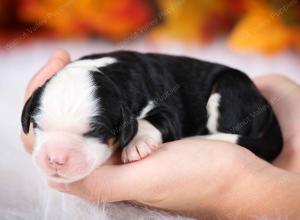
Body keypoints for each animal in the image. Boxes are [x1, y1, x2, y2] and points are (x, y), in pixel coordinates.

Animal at [22, 50, 282, 183]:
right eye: (37, 125)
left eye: (95, 131)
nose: (55, 160)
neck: (110, 74)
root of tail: (266, 104)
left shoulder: (167, 108)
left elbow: (151, 121)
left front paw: (137, 145)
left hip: (229, 89)